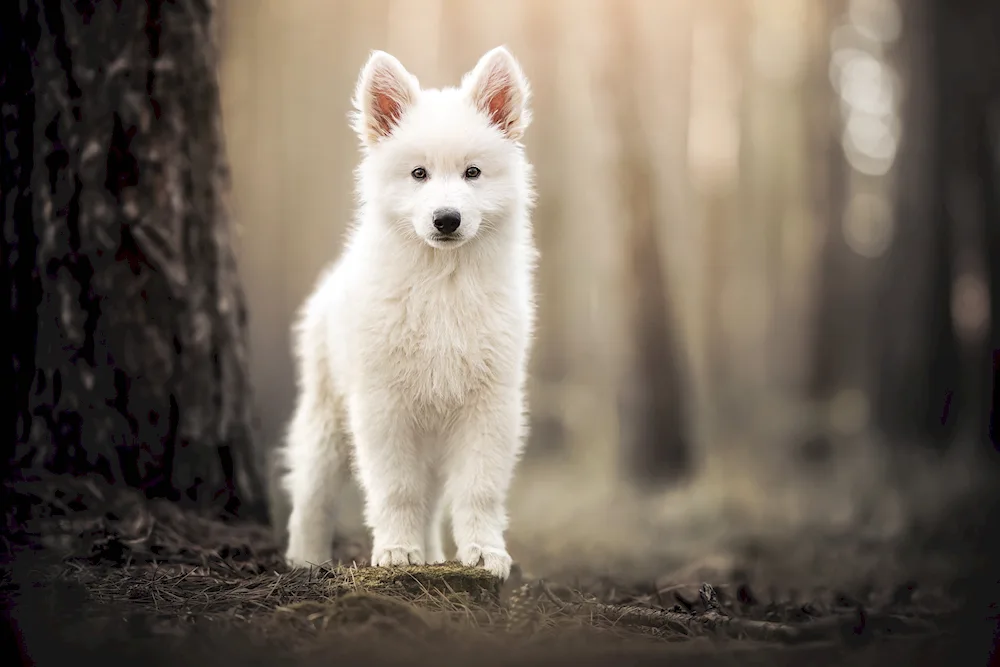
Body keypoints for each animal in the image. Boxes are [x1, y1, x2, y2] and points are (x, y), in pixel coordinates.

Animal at [278, 47, 536, 580]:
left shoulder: (489, 404)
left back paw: (434, 554)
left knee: (434, 500)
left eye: (473, 173)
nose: (446, 219)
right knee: (311, 494)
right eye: (419, 174)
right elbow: (396, 489)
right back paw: (305, 559)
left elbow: (478, 489)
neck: (443, 283)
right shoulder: (383, 406)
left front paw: (484, 552)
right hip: (327, 418)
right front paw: (396, 551)